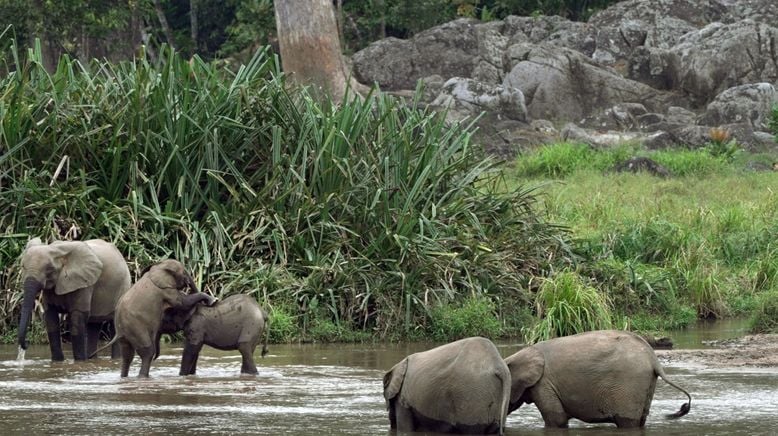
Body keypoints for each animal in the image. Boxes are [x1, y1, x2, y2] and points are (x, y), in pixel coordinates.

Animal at [504, 328, 692, 428]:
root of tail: (654, 359)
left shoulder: (543, 383)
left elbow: (556, 420)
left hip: (630, 385)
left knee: (627, 423)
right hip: (645, 383)